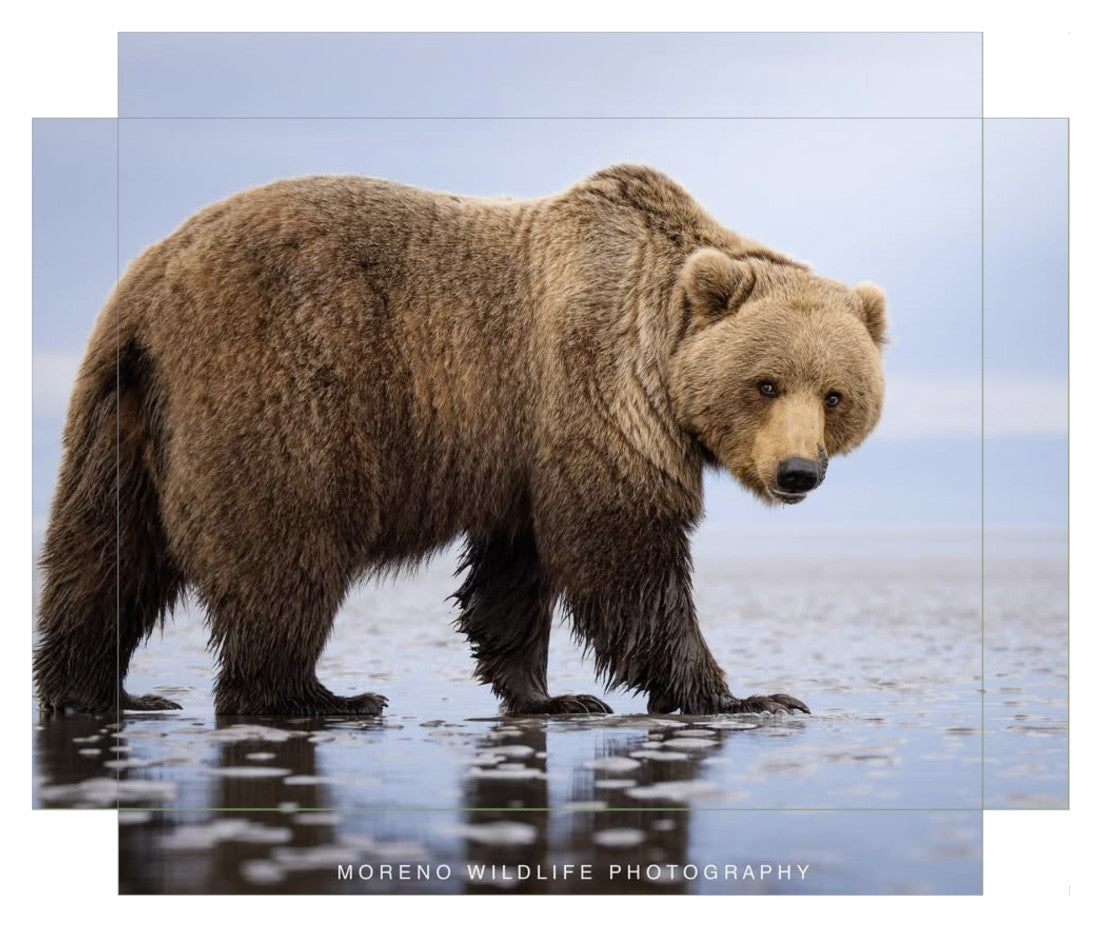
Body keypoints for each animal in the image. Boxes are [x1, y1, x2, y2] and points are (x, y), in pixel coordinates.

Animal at [33, 164, 886, 717]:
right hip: (277, 385)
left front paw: (549, 695)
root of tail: (149, 286)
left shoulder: (521, 445)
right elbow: (623, 553)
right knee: (284, 548)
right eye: (766, 383)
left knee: (105, 554)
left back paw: (101, 690)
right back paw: (315, 696)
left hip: (120, 413)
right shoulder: (593, 390)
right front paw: (747, 696)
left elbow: (516, 570)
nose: (798, 471)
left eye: (836, 394)